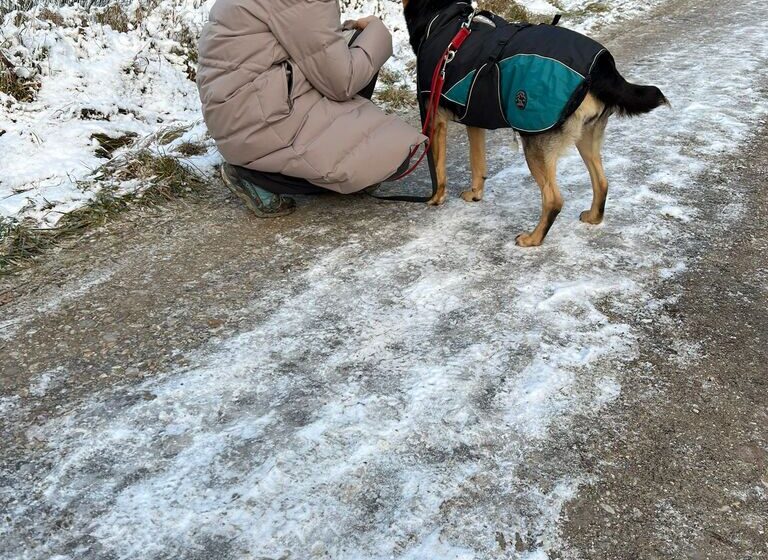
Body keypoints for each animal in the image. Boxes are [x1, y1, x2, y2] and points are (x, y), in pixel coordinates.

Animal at [402, 0, 668, 247]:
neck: (442, 14)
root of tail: (602, 68)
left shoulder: (434, 118)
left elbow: (438, 169)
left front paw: (435, 198)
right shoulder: (474, 120)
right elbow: (477, 163)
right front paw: (475, 193)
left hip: (535, 143)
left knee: (553, 199)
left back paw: (533, 238)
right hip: (586, 137)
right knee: (602, 182)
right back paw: (593, 217)